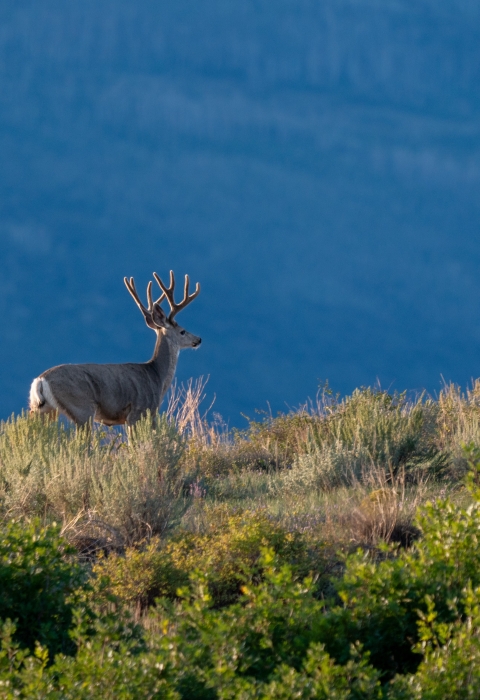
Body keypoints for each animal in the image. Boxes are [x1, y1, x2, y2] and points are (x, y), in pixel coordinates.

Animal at [29, 270, 201, 428]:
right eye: (182, 331)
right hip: (82, 407)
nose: (198, 339)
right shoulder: (139, 411)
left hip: (43, 410)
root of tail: (40, 380)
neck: (157, 376)